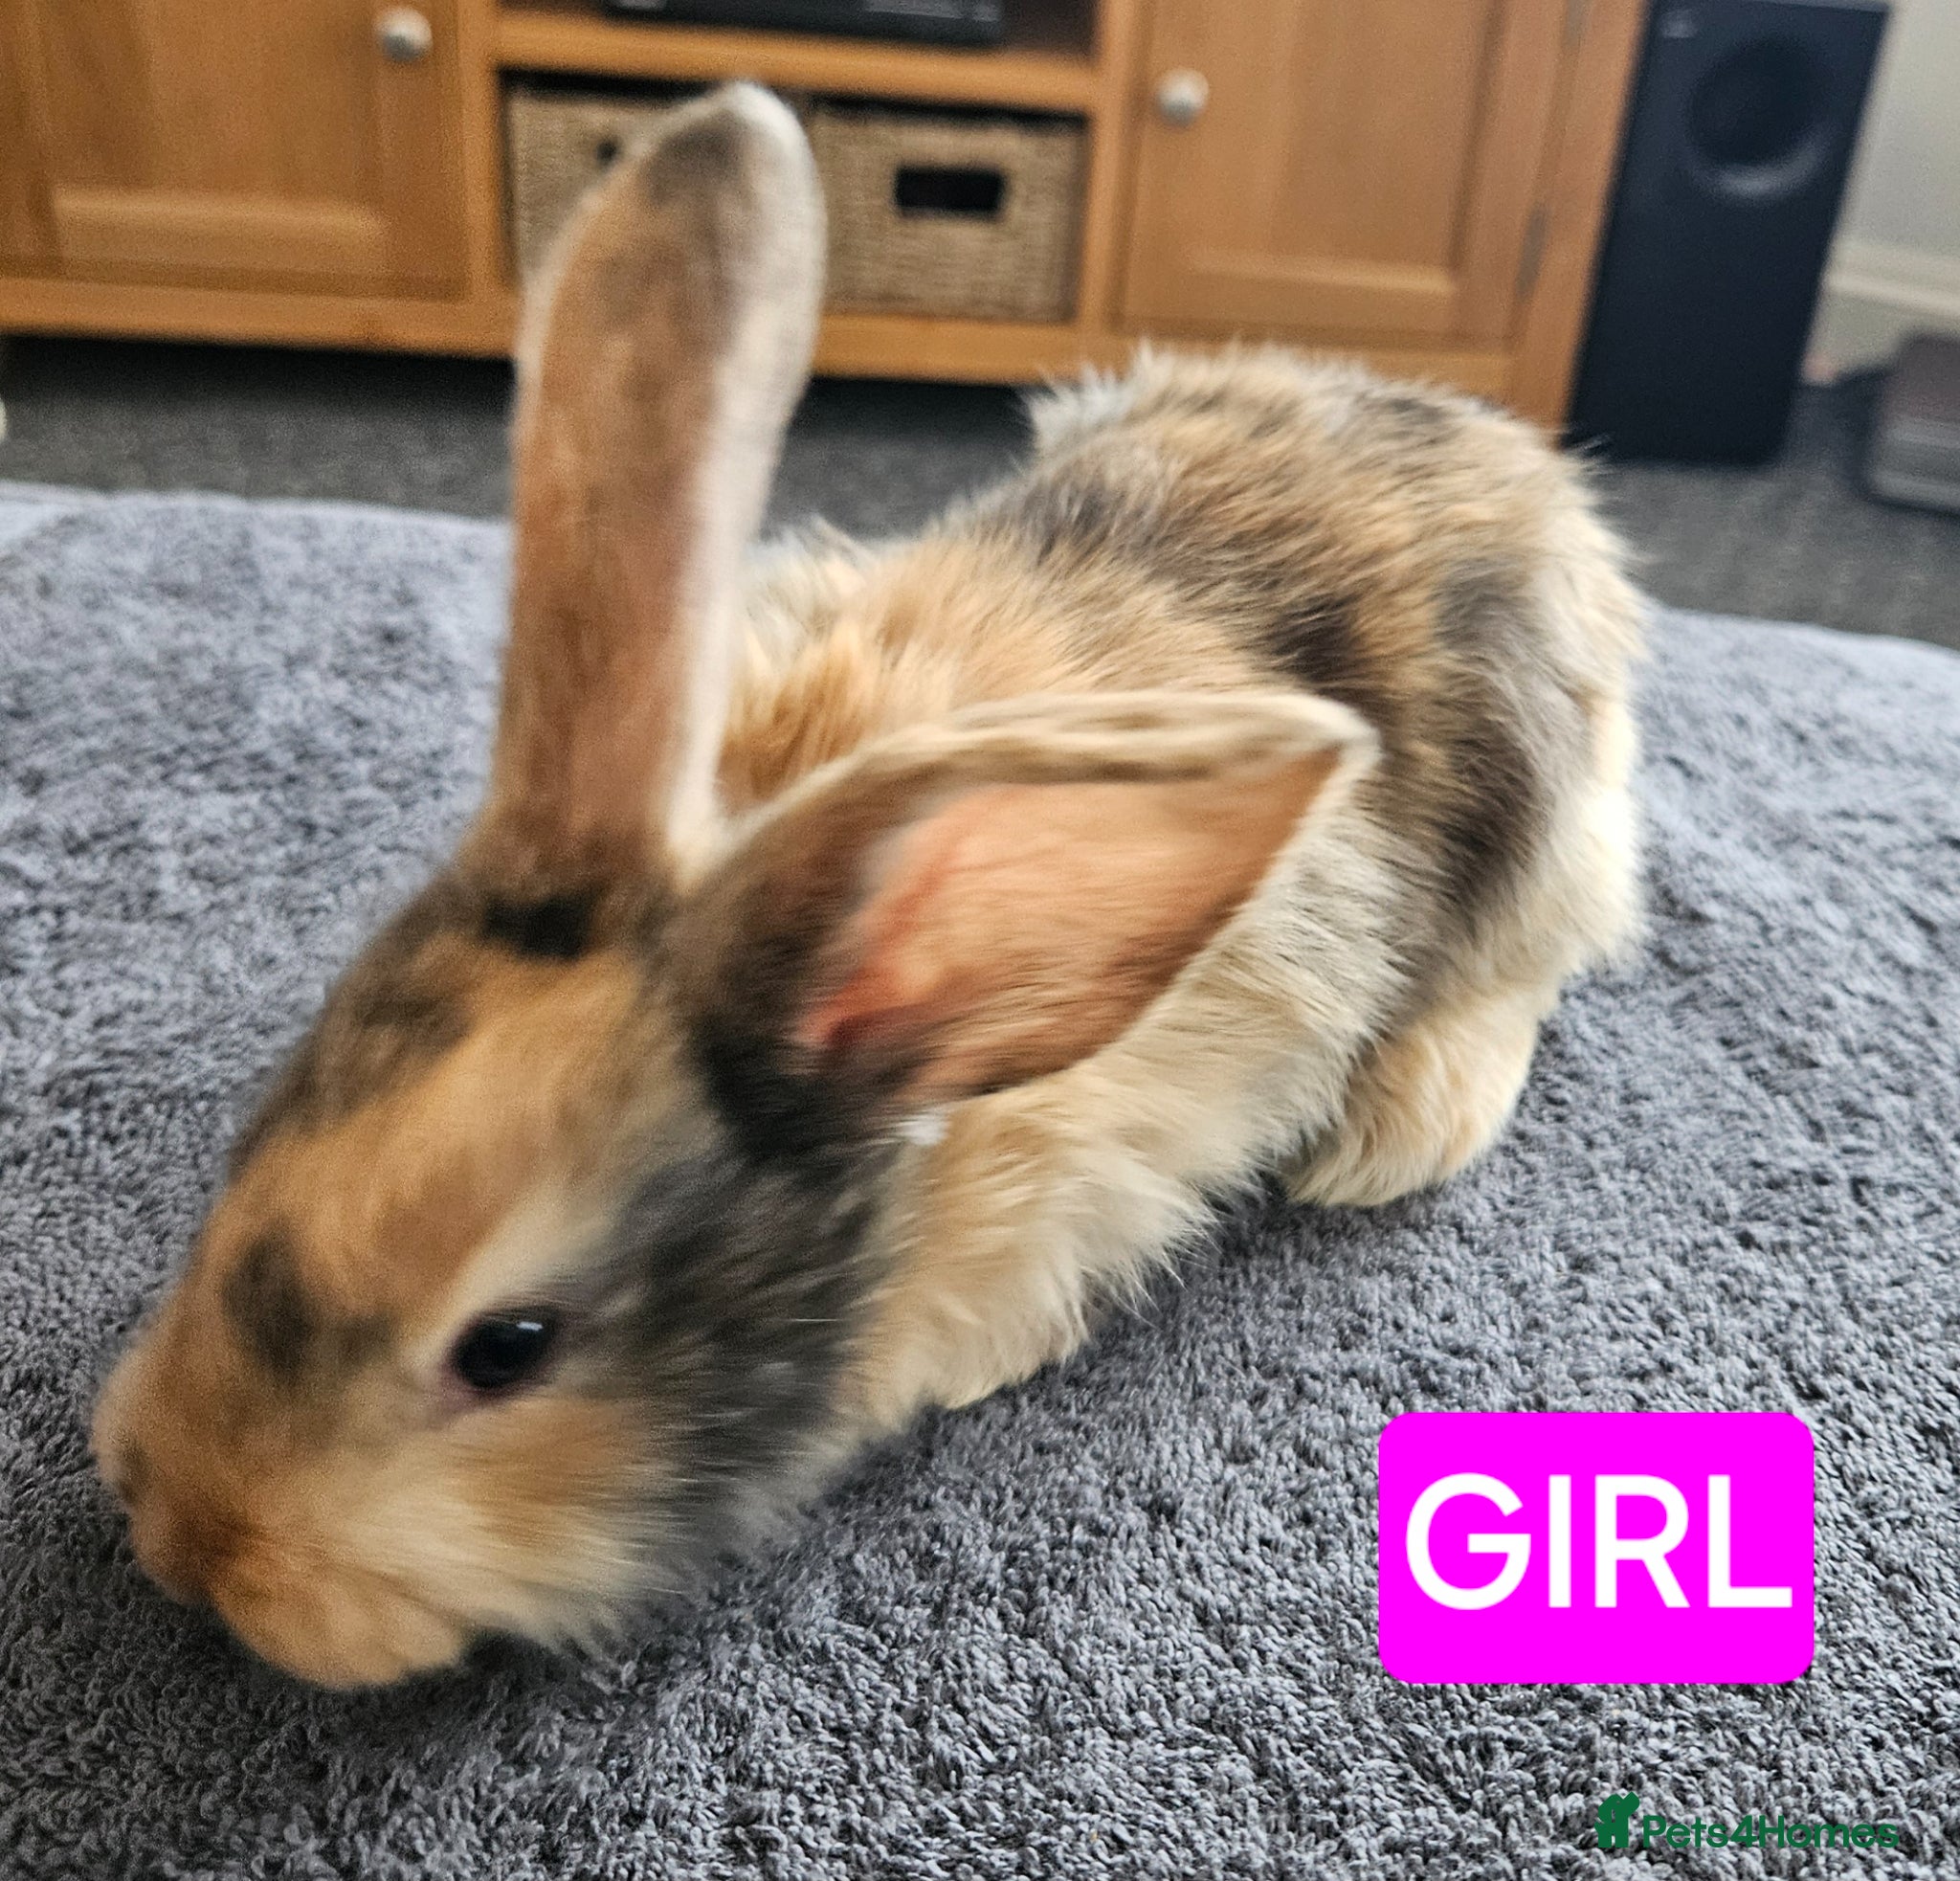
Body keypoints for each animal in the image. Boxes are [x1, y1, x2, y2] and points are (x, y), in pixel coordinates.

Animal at [92, 83, 1642, 1688]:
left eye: (508, 1346)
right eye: (254, 1140)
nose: (187, 1541)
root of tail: (1527, 472)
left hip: (1538, 829)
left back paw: (1395, 1130)